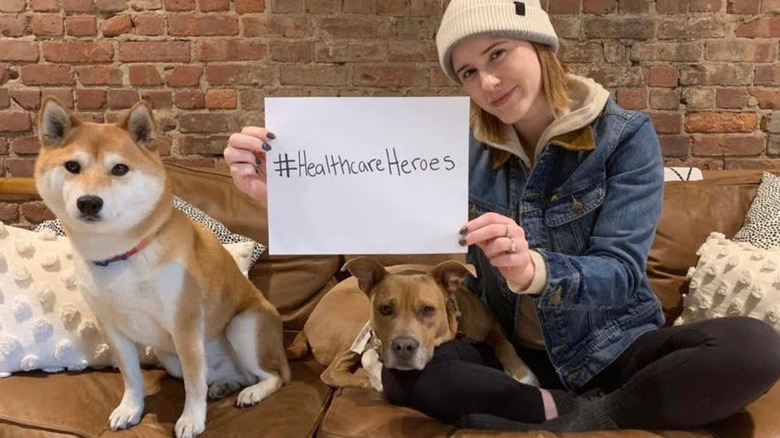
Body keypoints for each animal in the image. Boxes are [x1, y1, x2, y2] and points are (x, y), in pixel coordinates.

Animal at [33, 98, 290, 438]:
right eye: (72, 166)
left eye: (120, 169)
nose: (89, 202)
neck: (120, 253)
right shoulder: (112, 328)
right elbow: (132, 377)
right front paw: (130, 410)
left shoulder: (186, 324)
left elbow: (193, 385)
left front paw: (192, 419)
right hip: (169, 357)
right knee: (237, 375)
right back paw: (226, 385)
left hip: (242, 326)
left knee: (271, 376)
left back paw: (252, 392)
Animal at [314, 256, 540, 390]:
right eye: (385, 309)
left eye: (427, 310)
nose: (403, 347)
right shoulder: (375, 339)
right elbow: (368, 356)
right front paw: (377, 378)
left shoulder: (493, 324)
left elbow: (505, 345)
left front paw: (524, 375)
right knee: (330, 373)